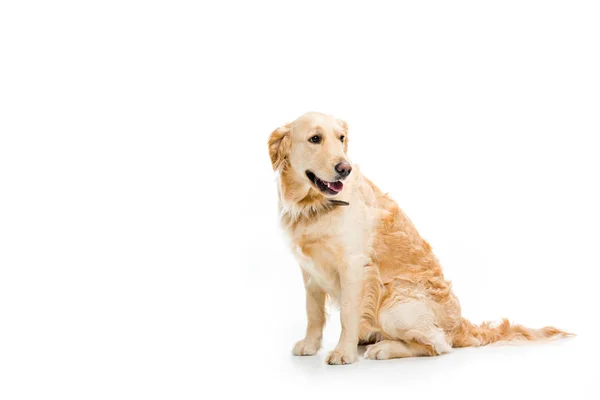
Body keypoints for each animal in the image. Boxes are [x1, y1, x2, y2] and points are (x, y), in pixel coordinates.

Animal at [268, 111, 572, 364]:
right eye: (315, 139)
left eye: (341, 138)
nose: (345, 168)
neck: (313, 206)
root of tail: (460, 325)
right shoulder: (308, 270)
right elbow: (314, 312)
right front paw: (310, 345)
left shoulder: (354, 265)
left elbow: (347, 314)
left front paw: (343, 352)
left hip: (393, 302)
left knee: (437, 345)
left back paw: (384, 348)